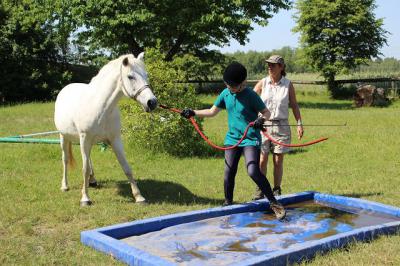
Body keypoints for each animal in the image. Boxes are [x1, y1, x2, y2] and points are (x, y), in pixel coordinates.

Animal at [54, 52, 157, 206]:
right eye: (130, 76)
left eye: (146, 75)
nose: (152, 102)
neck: (101, 107)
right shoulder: (85, 139)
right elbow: (84, 169)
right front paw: (85, 198)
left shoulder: (115, 140)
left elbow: (127, 168)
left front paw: (139, 197)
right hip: (64, 137)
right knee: (65, 160)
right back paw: (65, 186)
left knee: (88, 159)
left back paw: (92, 180)